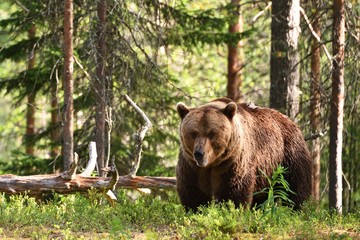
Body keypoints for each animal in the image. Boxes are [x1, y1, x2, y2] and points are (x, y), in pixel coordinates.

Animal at [176, 97, 310, 210]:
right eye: (193, 133)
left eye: (211, 133)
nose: (199, 153)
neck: (212, 164)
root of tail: (288, 119)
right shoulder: (191, 165)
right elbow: (193, 191)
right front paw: (196, 209)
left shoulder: (232, 161)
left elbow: (233, 189)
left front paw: (229, 209)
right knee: (263, 195)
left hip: (287, 152)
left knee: (296, 184)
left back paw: (297, 208)